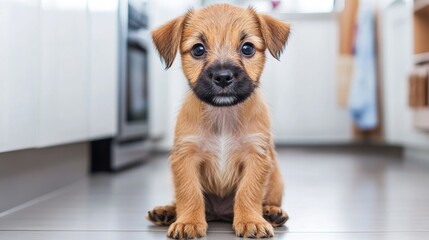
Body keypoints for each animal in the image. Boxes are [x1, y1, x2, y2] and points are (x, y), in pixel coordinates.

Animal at [147, 3, 290, 238]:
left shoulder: (256, 156)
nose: (223, 77)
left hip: (276, 178)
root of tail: (220, 214)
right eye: (198, 49)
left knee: (268, 199)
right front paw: (188, 222)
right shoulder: (186, 157)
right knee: (178, 200)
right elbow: (189, 193)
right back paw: (167, 211)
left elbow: (248, 191)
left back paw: (271, 211)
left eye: (247, 48)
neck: (223, 115)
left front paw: (251, 220)